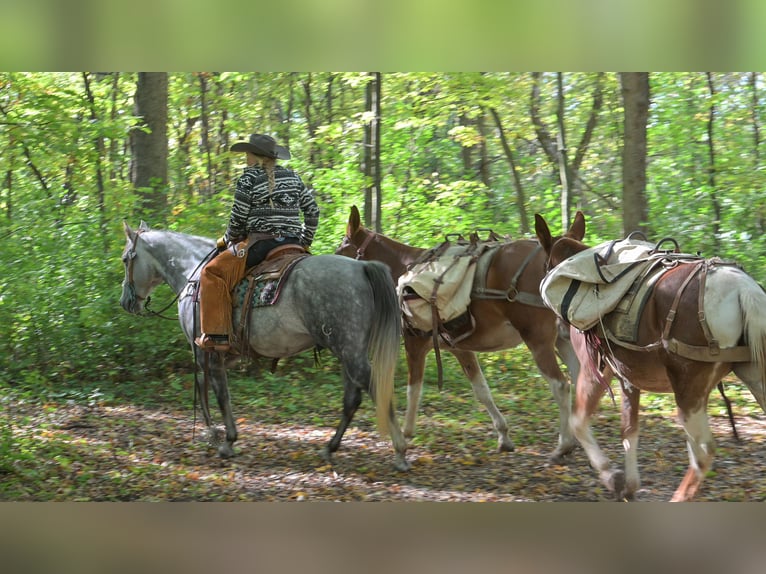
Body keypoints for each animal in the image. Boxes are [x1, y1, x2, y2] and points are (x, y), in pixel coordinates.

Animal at [119, 221, 410, 471]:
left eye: (125, 259)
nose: (126, 302)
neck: (192, 272)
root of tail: (362, 268)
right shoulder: (220, 355)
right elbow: (211, 389)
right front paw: (217, 435)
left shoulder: (205, 352)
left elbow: (215, 393)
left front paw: (222, 438)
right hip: (348, 350)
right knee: (352, 398)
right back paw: (330, 448)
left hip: (349, 351)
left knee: (374, 389)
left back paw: (400, 451)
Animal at [335, 206, 581, 461]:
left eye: (342, 247)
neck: (403, 270)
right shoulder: (461, 348)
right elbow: (482, 391)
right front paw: (503, 435)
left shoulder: (415, 344)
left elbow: (414, 390)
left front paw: (406, 433)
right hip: (562, 339)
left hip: (538, 341)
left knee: (561, 385)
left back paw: (564, 444)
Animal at [535, 211, 766, 501]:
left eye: (544, 264)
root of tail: (743, 290)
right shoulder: (628, 378)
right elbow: (629, 430)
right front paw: (629, 485)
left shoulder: (595, 371)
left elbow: (579, 422)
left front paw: (611, 476)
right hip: (751, 378)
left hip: (688, 391)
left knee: (702, 451)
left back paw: (678, 497)